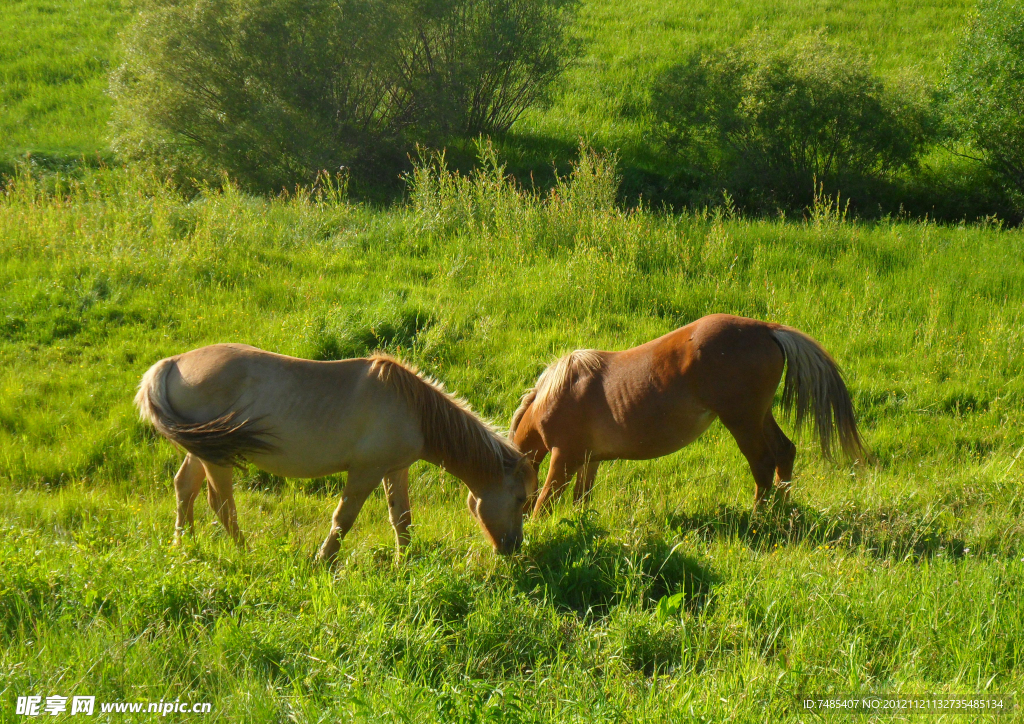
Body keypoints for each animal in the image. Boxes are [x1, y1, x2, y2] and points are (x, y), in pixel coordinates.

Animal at [136, 346, 536, 561]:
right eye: (519, 498)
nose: (514, 547)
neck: (414, 409)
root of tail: (171, 363)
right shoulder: (365, 472)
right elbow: (343, 519)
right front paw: (322, 561)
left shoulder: (395, 469)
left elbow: (402, 519)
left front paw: (404, 562)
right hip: (217, 458)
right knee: (220, 503)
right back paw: (243, 552)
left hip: (202, 451)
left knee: (184, 487)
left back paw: (184, 545)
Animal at [507, 315, 860, 516]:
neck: (557, 393)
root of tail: (767, 329)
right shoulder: (589, 460)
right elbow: (582, 500)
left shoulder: (563, 458)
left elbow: (545, 503)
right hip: (760, 416)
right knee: (785, 452)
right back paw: (781, 510)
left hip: (742, 422)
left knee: (762, 463)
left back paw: (758, 518)